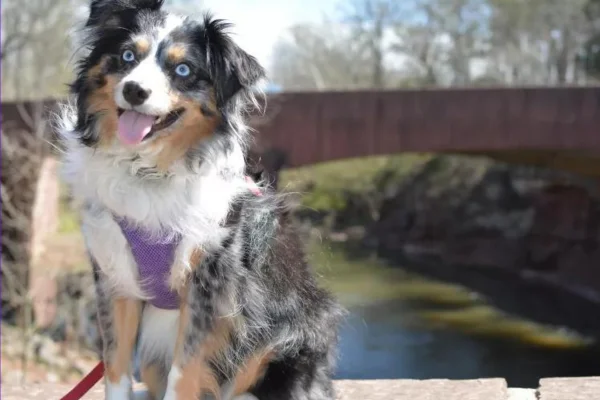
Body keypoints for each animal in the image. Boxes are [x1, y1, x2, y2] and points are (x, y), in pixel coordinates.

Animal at [58, 1, 344, 398]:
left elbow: (185, 370)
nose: (134, 90)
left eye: (183, 70)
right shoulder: (116, 275)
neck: (150, 171)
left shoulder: (210, 283)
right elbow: (115, 365)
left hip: (296, 329)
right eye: (128, 55)